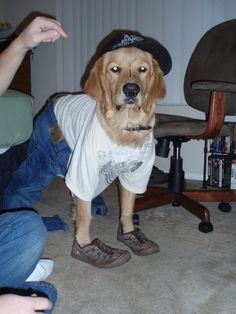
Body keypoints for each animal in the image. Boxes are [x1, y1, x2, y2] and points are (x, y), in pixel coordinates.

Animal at [4, 31, 171, 268]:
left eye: (142, 69)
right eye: (115, 69)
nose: (131, 90)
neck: (125, 128)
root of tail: (56, 99)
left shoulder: (136, 173)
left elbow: (127, 209)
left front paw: (130, 234)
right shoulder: (83, 170)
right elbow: (85, 217)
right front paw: (85, 245)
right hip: (46, 160)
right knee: (22, 184)